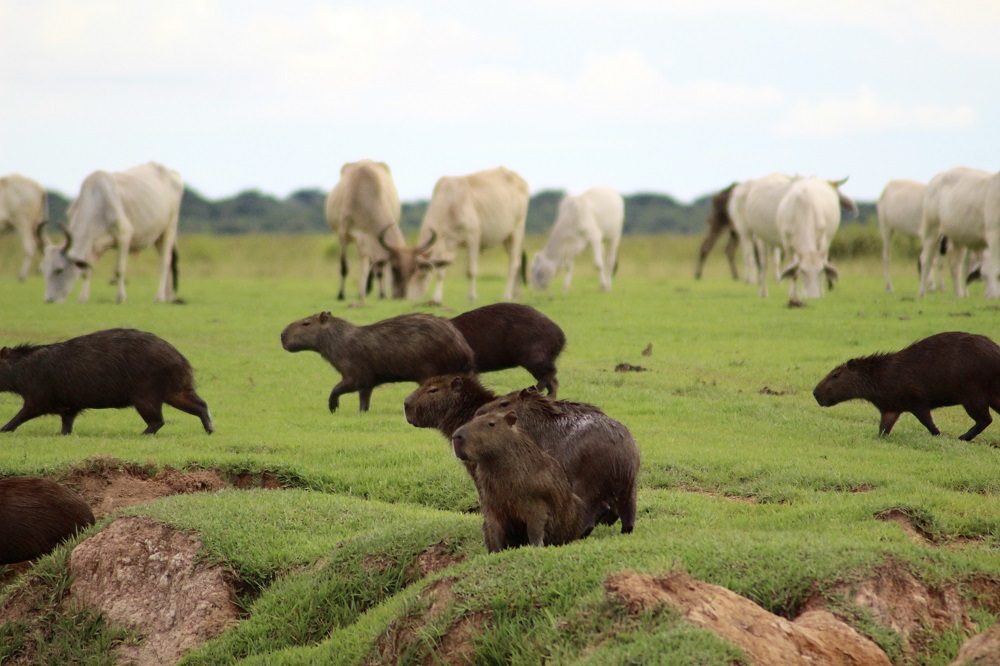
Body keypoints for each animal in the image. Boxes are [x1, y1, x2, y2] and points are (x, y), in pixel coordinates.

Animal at [40, 162, 183, 304]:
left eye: (59, 270)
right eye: (43, 270)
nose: (49, 300)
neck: (97, 201)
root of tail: (172, 173)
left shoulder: (124, 236)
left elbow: (119, 270)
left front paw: (121, 297)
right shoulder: (93, 246)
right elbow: (87, 271)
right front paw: (83, 298)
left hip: (169, 229)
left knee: (165, 262)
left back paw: (159, 296)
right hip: (158, 237)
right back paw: (169, 296)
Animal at [325, 160, 406, 303]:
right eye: (396, 270)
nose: (401, 296)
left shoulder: (369, 239)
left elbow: (378, 267)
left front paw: (382, 294)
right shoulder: (344, 236)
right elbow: (344, 267)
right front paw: (341, 295)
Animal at [380, 166, 529, 303]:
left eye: (416, 272)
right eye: (394, 269)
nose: (403, 297)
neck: (451, 203)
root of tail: (520, 180)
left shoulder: (473, 238)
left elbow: (471, 271)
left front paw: (472, 297)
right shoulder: (449, 244)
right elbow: (441, 272)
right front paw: (436, 299)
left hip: (517, 230)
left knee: (514, 264)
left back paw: (507, 295)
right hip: (506, 239)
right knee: (518, 261)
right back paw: (517, 296)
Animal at [918, 167, 996, 299]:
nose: (991, 297)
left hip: (957, 239)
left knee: (954, 265)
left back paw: (959, 294)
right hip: (932, 231)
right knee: (927, 260)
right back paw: (922, 293)